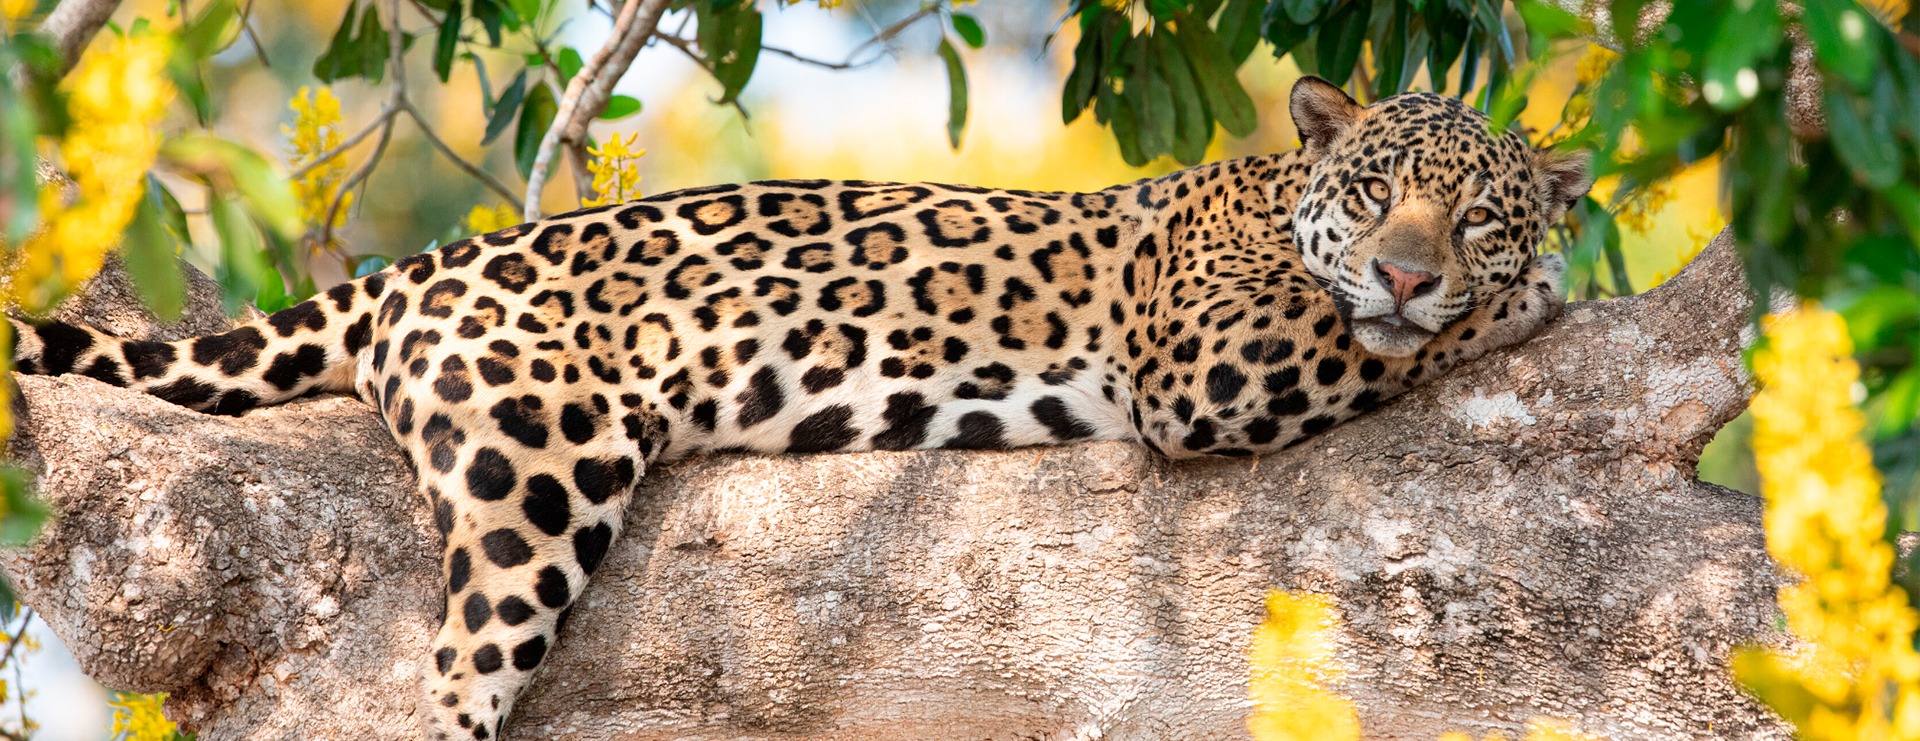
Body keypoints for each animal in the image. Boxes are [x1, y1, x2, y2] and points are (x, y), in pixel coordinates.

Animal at [8, 77, 1589, 739]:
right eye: (1380, 199)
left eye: (1475, 210)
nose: (1410, 266)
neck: (1270, 197)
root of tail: (432, 261)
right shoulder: (1206, 360)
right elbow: (1372, 340)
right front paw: (1522, 299)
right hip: (536, 471)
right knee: (457, 665)